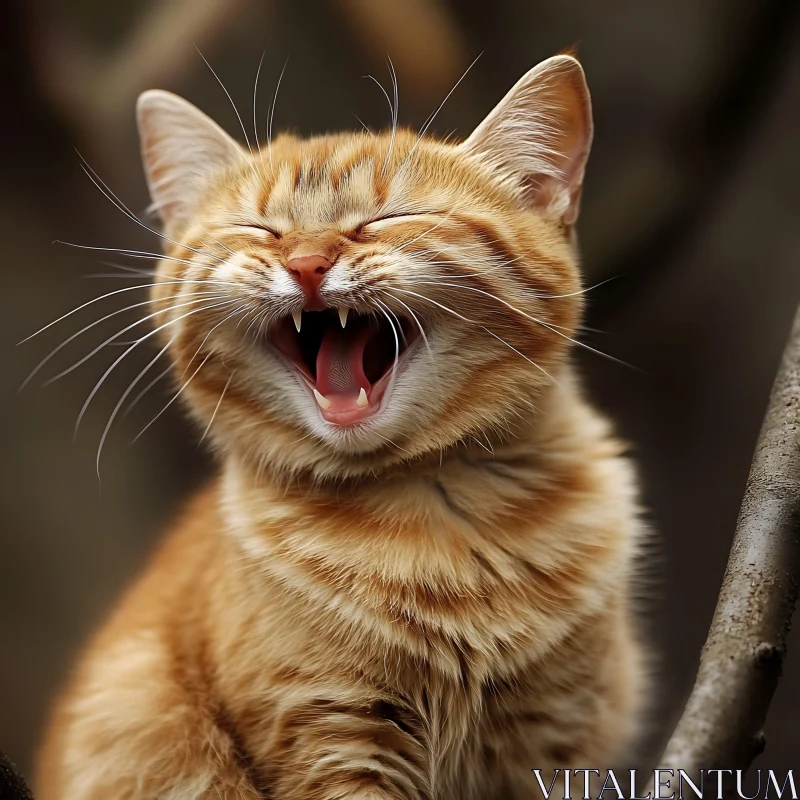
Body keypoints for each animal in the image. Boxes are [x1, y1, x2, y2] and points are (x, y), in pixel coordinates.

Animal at [37, 56, 648, 800]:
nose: (306, 263)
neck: (434, 525)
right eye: (260, 230)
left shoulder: (554, 744)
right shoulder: (328, 735)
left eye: (386, 219)